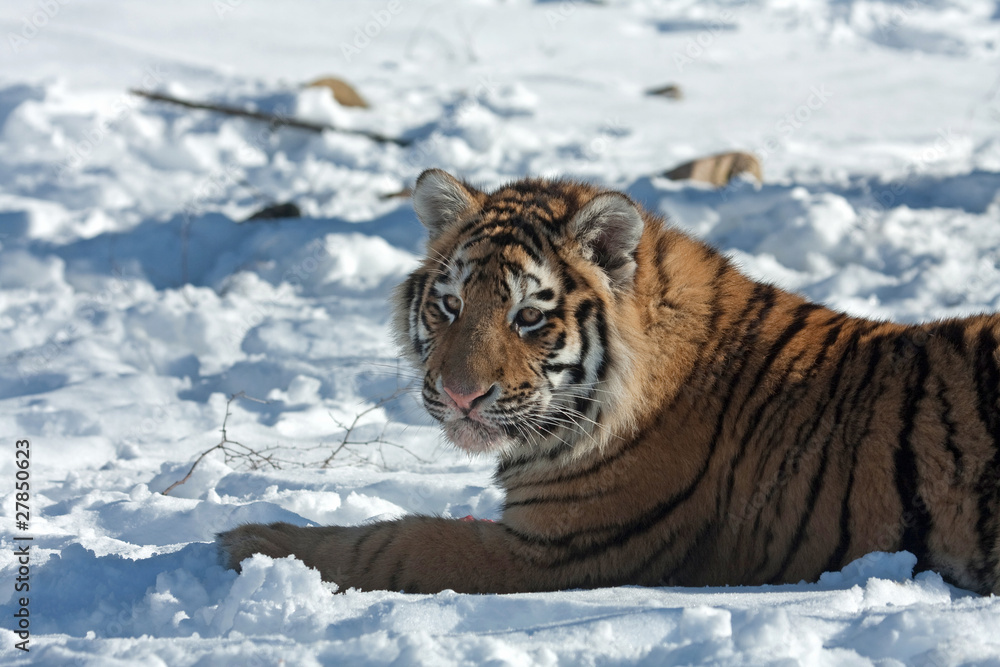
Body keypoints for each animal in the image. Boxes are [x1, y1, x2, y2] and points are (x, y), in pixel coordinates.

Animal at [219, 168, 1000, 595]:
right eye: (449, 305)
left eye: (530, 316)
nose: (463, 394)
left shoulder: (556, 549)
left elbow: (391, 543)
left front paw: (248, 541)